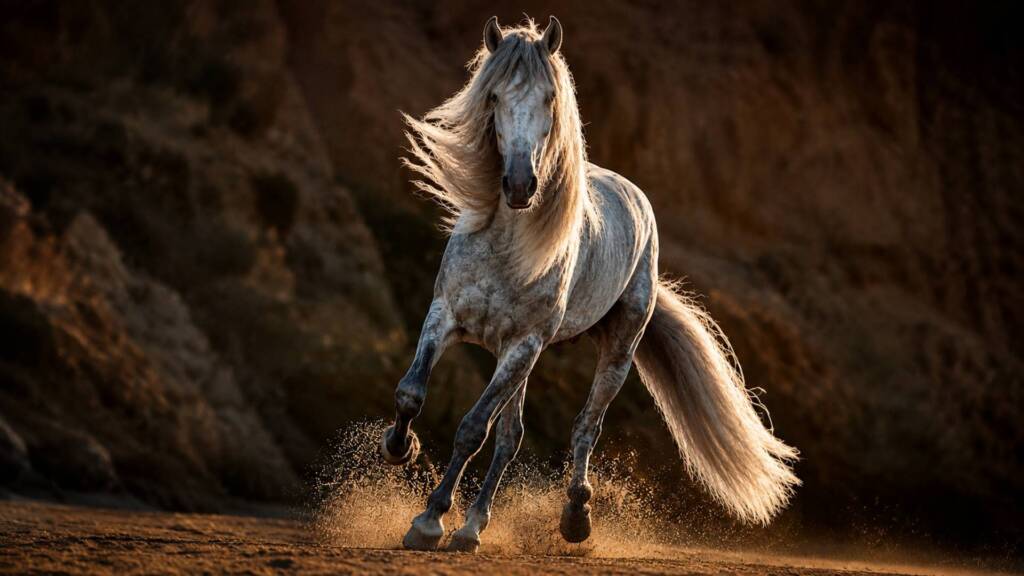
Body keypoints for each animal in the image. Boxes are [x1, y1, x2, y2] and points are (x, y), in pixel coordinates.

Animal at [379, 15, 800, 553]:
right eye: (493, 96)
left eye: (550, 98)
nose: (521, 185)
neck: (507, 246)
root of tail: (637, 197)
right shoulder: (445, 317)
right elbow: (412, 392)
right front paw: (400, 447)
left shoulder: (524, 345)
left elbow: (472, 429)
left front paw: (429, 520)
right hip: (519, 358)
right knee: (511, 438)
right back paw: (472, 528)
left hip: (612, 352)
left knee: (583, 428)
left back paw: (574, 516)